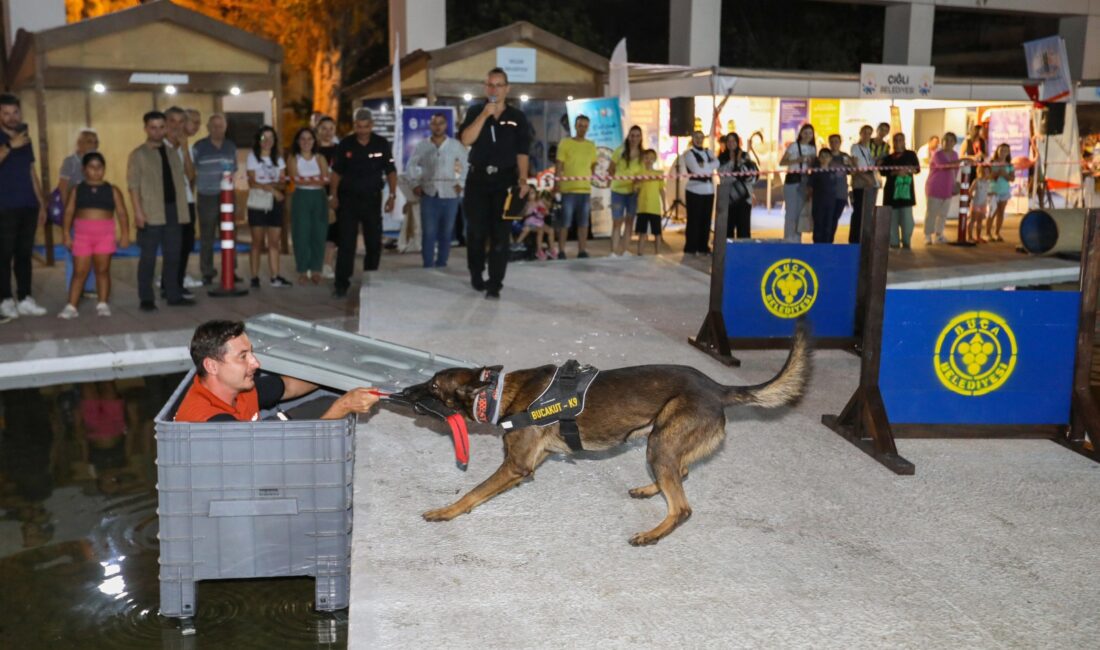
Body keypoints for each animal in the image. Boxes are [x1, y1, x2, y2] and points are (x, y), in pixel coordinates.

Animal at [396, 321, 809, 543]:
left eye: (433, 386)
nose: (403, 392)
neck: (499, 393)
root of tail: (718, 387)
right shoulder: (534, 460)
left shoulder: (516, 466)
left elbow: (472, 492)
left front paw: (445, 511)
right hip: (664, 439)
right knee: (681, 472)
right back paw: (650, 489)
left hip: (660, 442)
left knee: (683, 506)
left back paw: (651, 534)